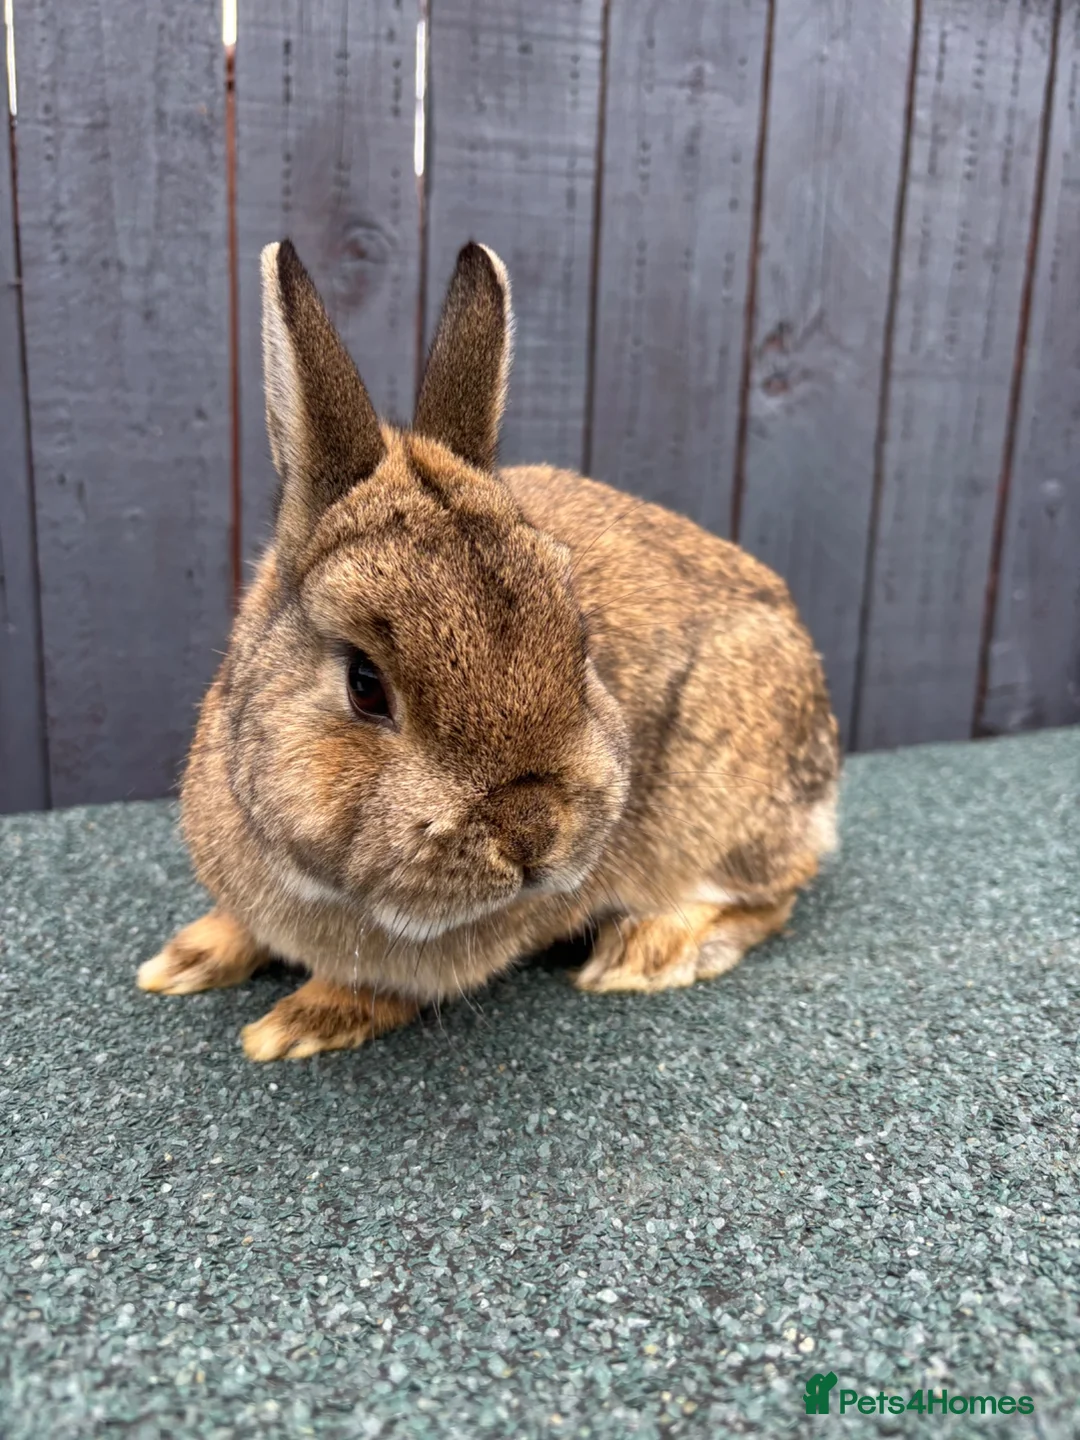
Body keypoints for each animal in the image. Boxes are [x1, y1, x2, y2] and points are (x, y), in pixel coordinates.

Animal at [137, 239, 840, 1060]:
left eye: (579, 644)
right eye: (365, 684)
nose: (532, 832)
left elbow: (380, 987)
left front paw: (298, 1023)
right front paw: (186, 959)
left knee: (772, 895)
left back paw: (643, 953)